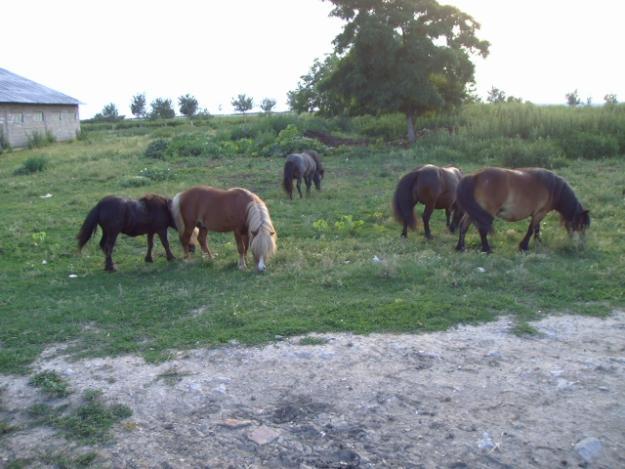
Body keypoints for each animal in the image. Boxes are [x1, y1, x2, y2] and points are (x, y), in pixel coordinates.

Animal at [454, 165, 588, 252]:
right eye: (580, 225)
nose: (581, 246)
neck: (553, 188)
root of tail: (475, 176)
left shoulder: (538, 214)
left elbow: (536, 229)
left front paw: (538, 243)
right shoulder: (540, 213)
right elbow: (531, 229)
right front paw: (524, 246)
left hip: (473, 212)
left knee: (463, 226)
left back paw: (460, 247)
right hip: (486, 212)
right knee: (482, 229)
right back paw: (486, 249)